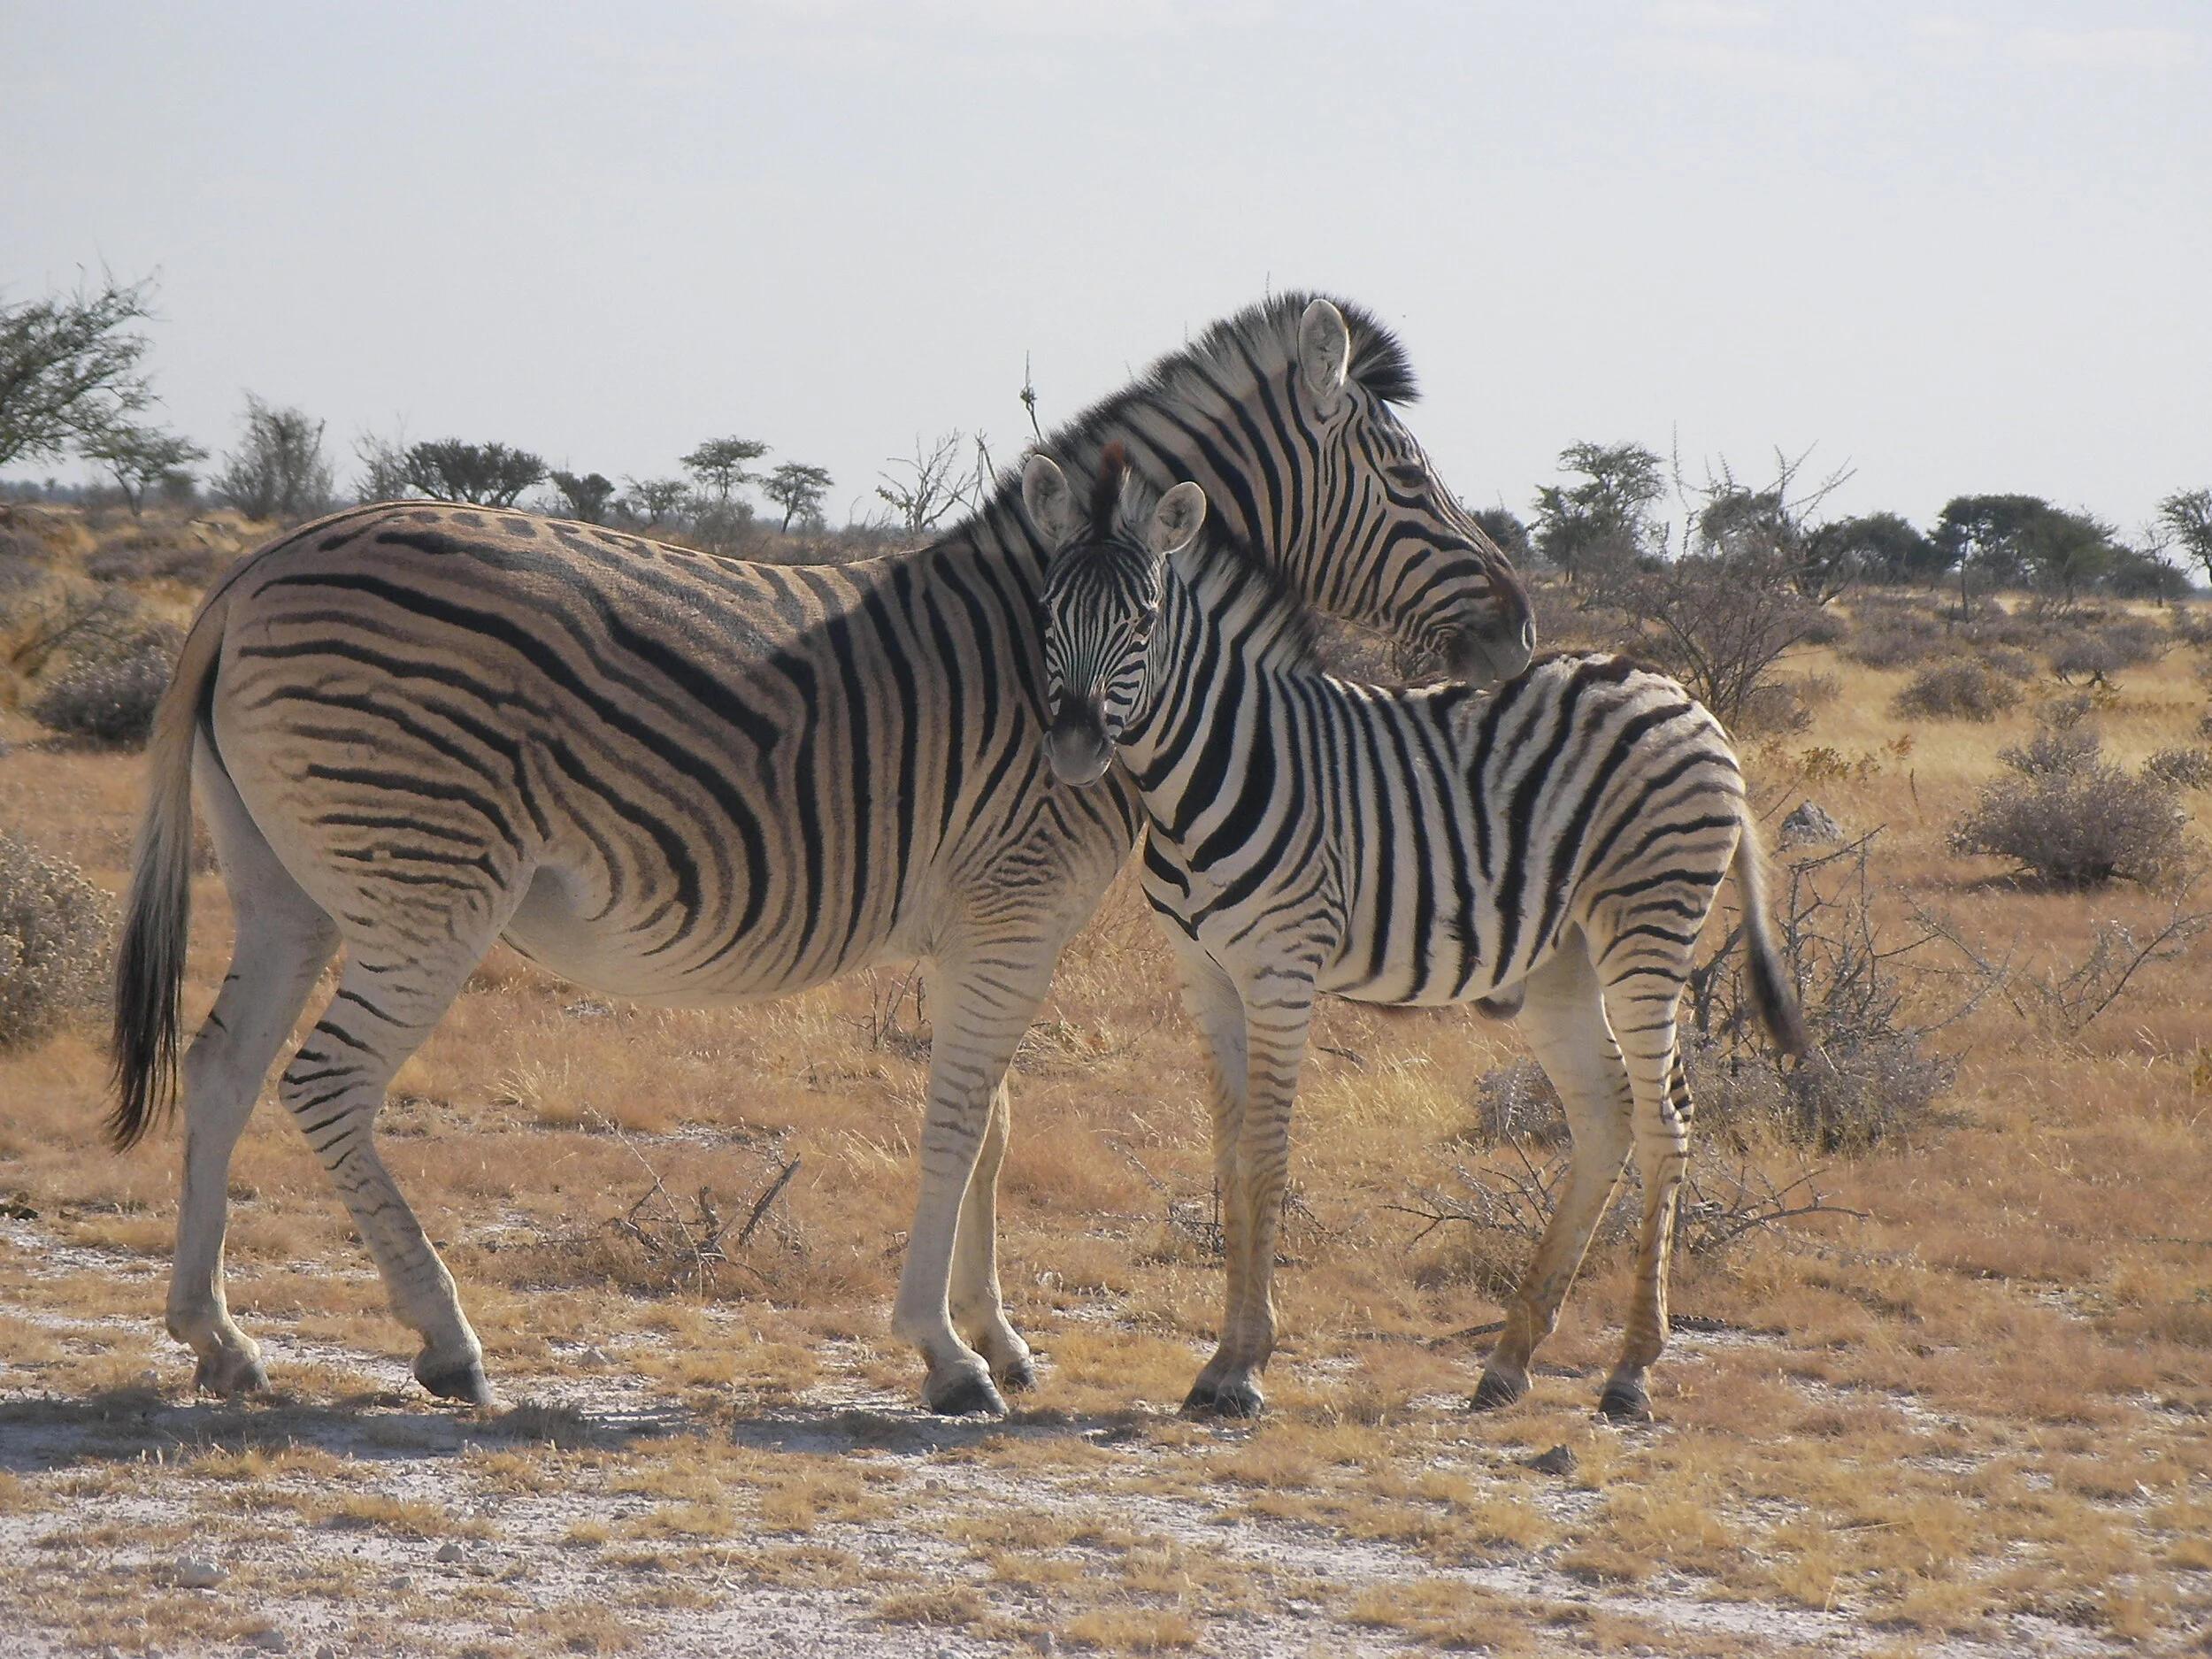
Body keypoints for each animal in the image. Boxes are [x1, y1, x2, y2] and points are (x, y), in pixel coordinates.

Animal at [110, 296, 1535, 1417]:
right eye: (1408, 476)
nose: (1520, 626)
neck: (1076, 644)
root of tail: (254, 568)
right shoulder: (1015, 911)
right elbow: (958, 1120)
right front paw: (945, 1356)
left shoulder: (986, 927)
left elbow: (994, 1123)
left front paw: (1001, 1339)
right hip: (428, 889)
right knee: (325, 1082)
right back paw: (447, 1341)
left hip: (290, 886)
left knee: (223, 1063)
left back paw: (217, 1339)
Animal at [1023, 447, 1806, 1421]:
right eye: (1047, 612)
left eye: (1144, 618)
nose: (1075, 746)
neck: (1206, 769)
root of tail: (1678, 695)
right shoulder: (1203, 975)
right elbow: (1227, 1156)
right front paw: (1219, 1362)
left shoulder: (1281, 968)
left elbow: (1265, 1156)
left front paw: (1244, 1366)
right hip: (1562, 960)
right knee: (1605, 1113)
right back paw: (1509, 1359)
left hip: (1646, 930)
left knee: (1668, 1119)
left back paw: (1630, 1372)